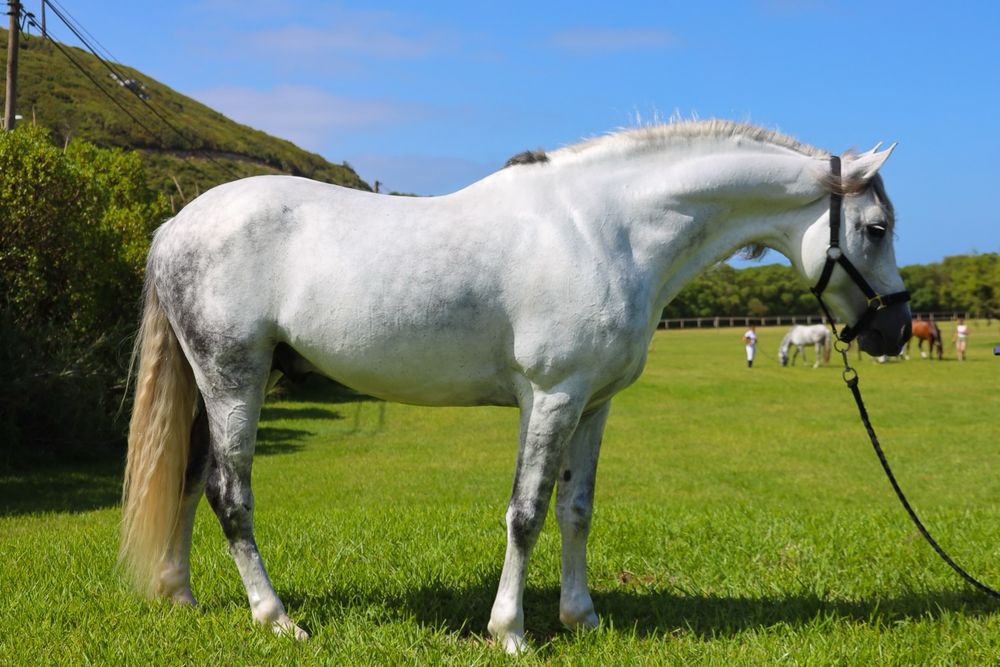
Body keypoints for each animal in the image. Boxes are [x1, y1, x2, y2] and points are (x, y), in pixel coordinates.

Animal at [120, 120, 911, 653]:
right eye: (875, 227)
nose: (896, 331)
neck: (607, 230)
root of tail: (177, 225)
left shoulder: (593, 404)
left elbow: (576, 510)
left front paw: (581, 616)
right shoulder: (552, 395)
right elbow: (526, 512)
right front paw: (511, 632)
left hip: (212, 384)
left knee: (189, 478)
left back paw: (179, 595)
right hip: (235, 375)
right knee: (230, 493)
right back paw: (277, 618)